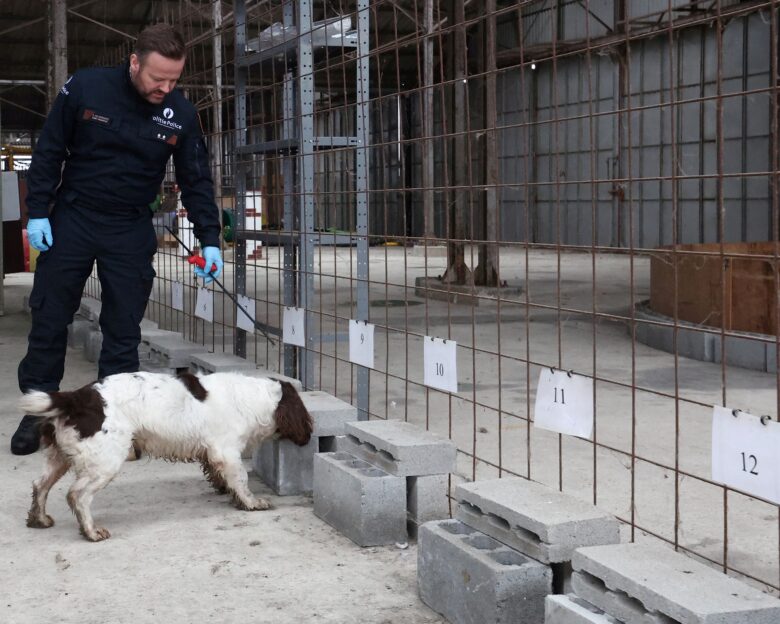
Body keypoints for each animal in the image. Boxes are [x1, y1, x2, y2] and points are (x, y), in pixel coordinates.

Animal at [18, 370, 310, 540]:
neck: (255, 398)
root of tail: (75, 398)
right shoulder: (226, 450)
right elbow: (241, 479)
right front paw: (251, 503)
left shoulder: (212, 452)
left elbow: (221, 476)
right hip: (106, 461)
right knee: (77, 495)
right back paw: (91, 531)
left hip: (60, 457)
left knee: (39, 485)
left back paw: (38, 519)